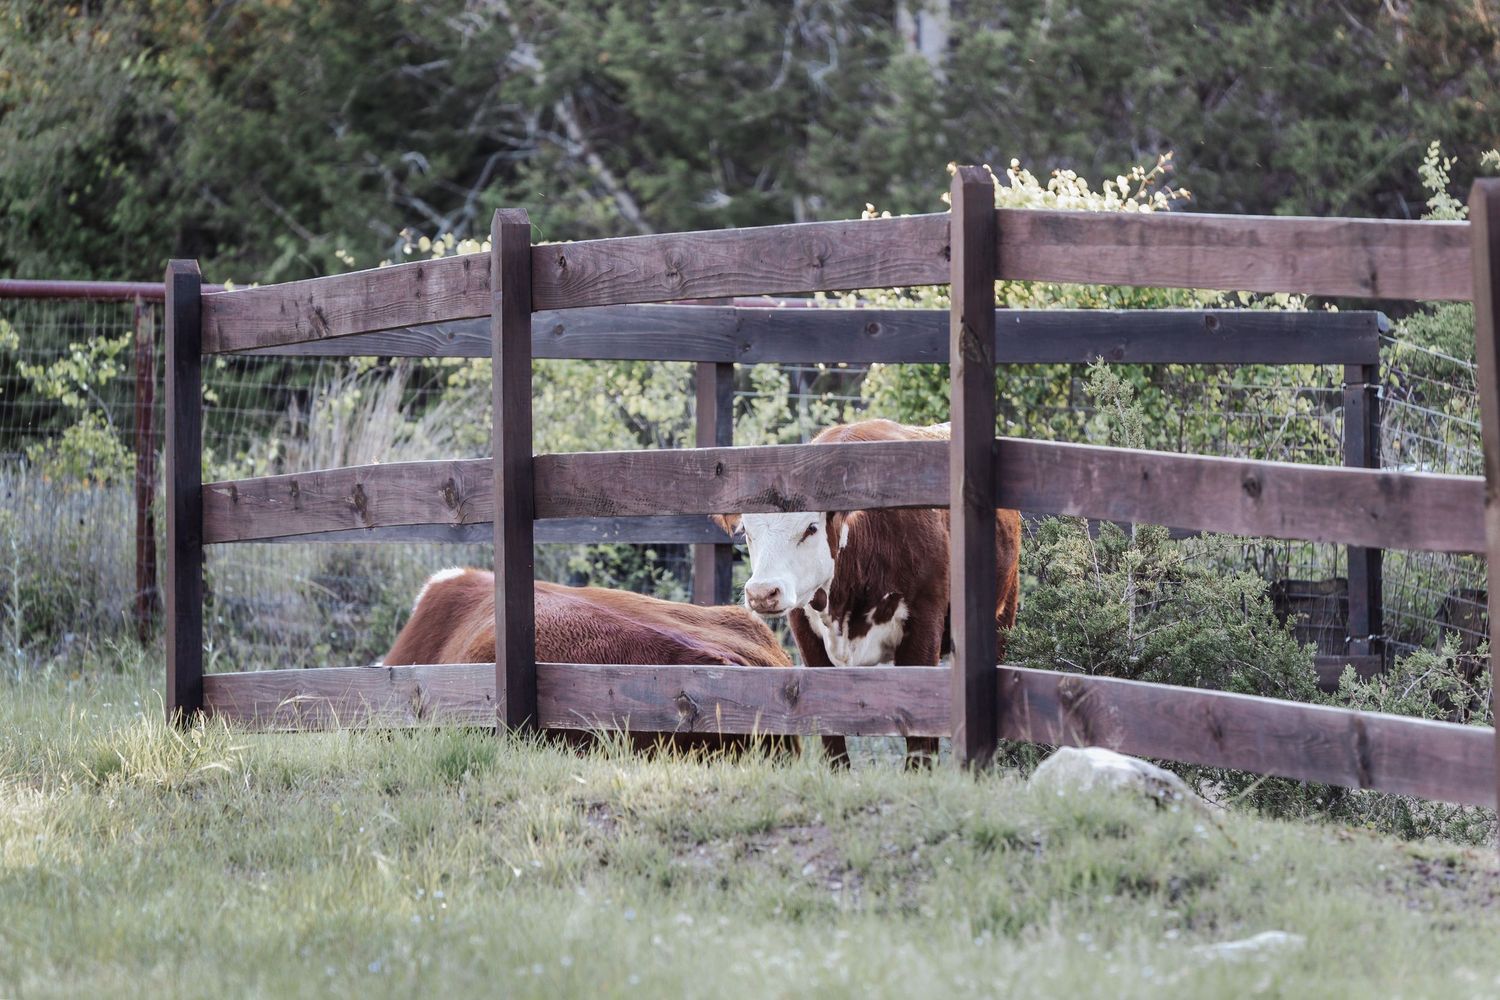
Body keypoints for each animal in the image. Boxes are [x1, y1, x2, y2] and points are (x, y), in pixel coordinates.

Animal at [714, 418, 1023, 766]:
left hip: (1002, 616)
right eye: (746, 532)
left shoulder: (923, 628)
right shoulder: (806, 634)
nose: (763, 593)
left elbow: (920, 729)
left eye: (810, 528)